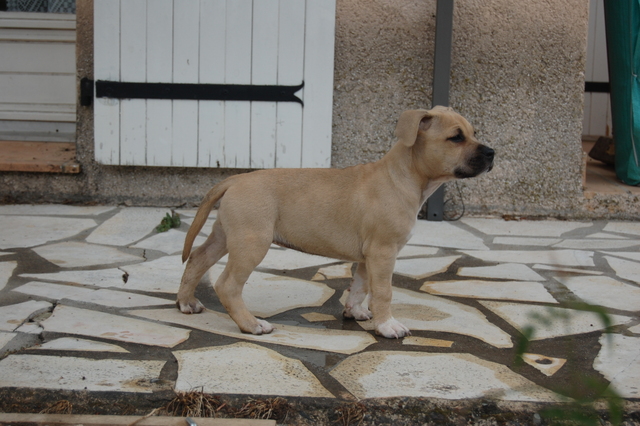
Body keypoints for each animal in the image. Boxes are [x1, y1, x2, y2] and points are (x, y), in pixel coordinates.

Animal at [177, 106, 494, 338]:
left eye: (473, 133)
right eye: (456, 137)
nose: (492, 153)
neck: (402, 176)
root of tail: (234, 179)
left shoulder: (369, 256)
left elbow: (360, 286)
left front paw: (355, 312)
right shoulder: (383, 252)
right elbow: (383, 292)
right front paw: (387, 326)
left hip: (226, 235)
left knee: (197, 259)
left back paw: (186, 302)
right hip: (252, 242)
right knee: (228, 284)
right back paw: (251, 324)